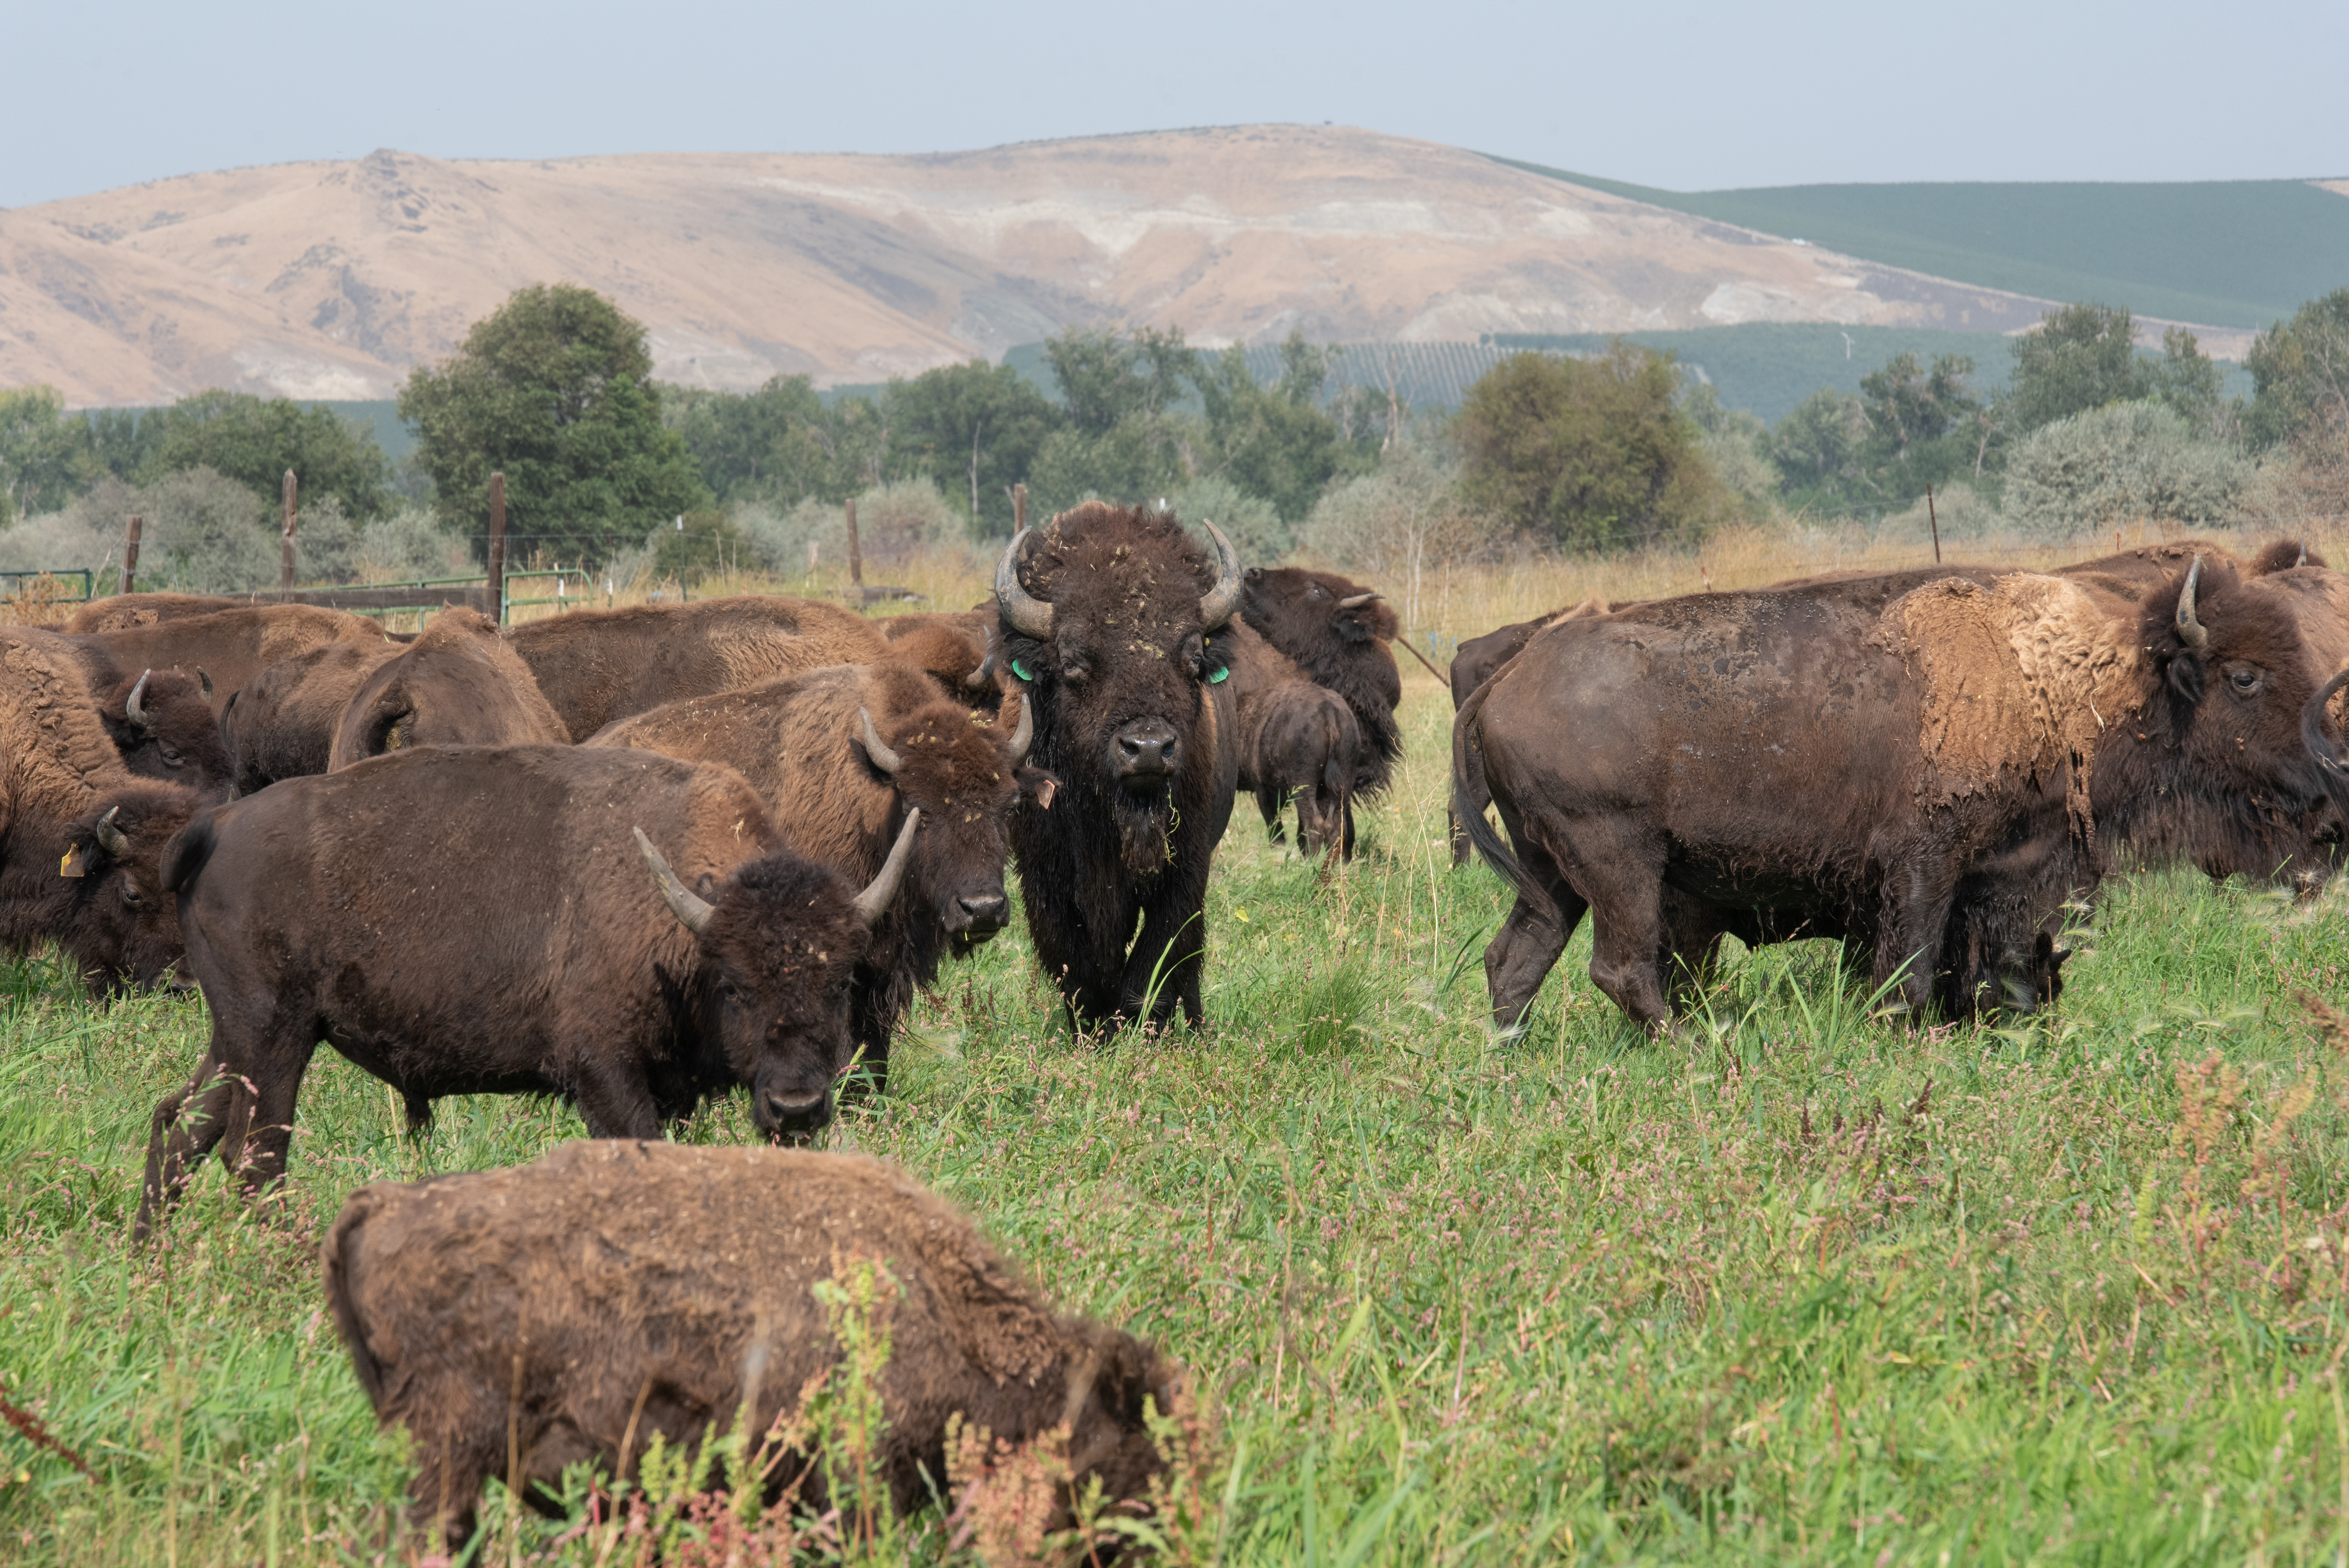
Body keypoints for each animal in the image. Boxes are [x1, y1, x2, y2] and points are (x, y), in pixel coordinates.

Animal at [136, 745, 918, 1238]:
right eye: (735, 983)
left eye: (842, 978)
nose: (798, 1106)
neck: (680, 924)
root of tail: (217, 826)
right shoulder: (603, 1073)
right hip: (275, 1038)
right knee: (253, 1154)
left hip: (236, 1037)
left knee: (179, 1123)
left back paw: (153, 1259)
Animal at [993, 504, 1242, 1031]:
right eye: (1072, 660)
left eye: (1193, 657)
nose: (1147, 749)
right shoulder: (1045, 880)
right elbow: (1077, 968)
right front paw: (1094, 1031)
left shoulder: (1185, 870)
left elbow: (1155, 963)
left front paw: (1142, 1028)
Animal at [1457, 558, 2349, 1030]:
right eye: (2244, 677)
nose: (2330, 805)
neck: (2057, 688)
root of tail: (1507, 675)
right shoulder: (1923, 865)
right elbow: (1910, 972)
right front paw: (1902, 1033)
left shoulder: (2004, 880)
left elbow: (1989, 964)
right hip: (1618, 863)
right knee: (1622, 968)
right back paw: (1698, 1044)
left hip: (1554, 876)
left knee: (1516, 958)